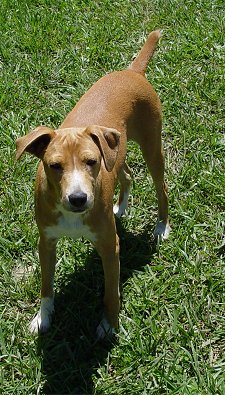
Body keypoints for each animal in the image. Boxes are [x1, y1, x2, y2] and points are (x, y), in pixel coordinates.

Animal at [15, 31, 171, 340]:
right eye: (55, 166)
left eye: (90, 162)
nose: (78, 198)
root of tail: (132, 72)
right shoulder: (45, 242)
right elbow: (46, 286)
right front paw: (43, 318)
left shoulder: (110, 246)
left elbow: (111, 293)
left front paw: (109, 324)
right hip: (117, 154)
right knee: (127, 175)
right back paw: (120, 208)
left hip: (151, 146)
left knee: (161, 188)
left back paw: (161, 226)